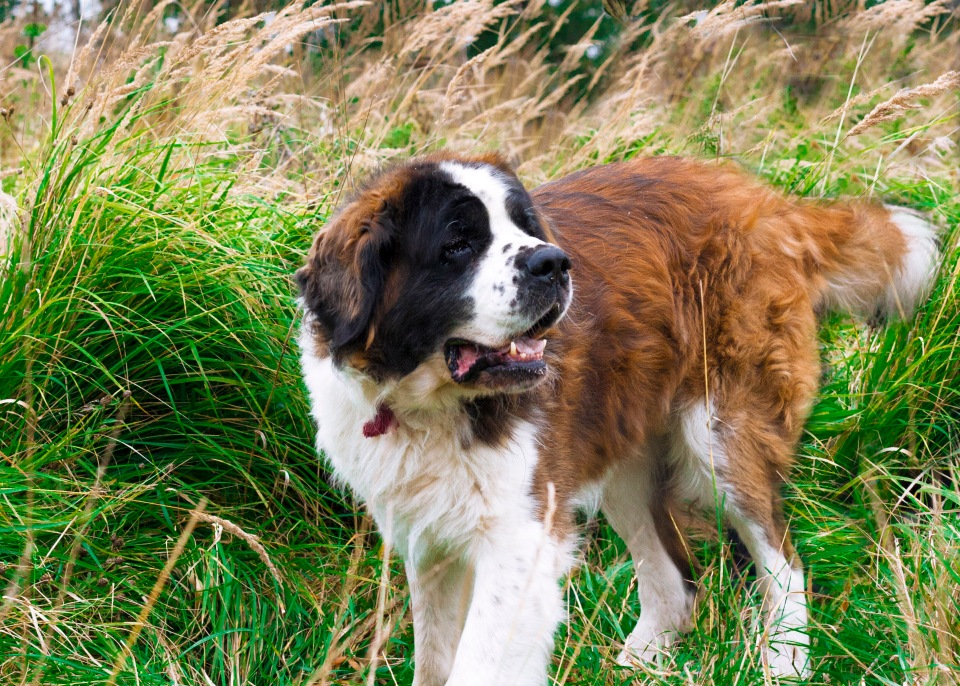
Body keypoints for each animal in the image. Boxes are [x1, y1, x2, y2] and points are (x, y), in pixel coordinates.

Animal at [294, 153, 936, 684]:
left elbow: (477, 665)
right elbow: (434, 658)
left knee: (783, 560)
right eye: (457, 244)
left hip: (722, 438)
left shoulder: (520, 540)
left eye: (526, 228)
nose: (552, 262)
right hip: (625, 457)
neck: (425, 405)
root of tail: (769, 202)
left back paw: (784, 662)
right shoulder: (427, 542)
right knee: (674, 583)